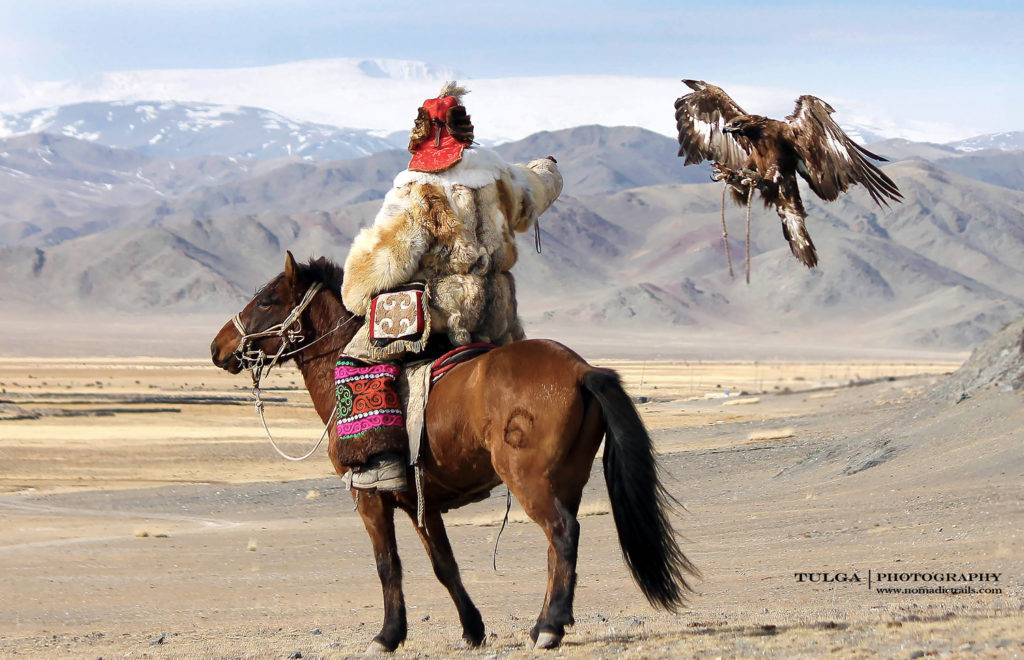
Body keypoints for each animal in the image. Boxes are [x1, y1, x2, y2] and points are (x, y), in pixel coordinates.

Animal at [209, 254, 696, 650]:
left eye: (268, 300)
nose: (218, 347)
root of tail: (582, 370)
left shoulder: (369, 496)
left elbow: (387, 564)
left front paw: (387, 636)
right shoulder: (417, 501)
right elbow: (444, 565)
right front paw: (473, 629)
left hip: (530, 479)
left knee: (563, 534)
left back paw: (550, 629)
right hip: (568, 479)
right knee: (556, 549)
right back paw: (542, 624)